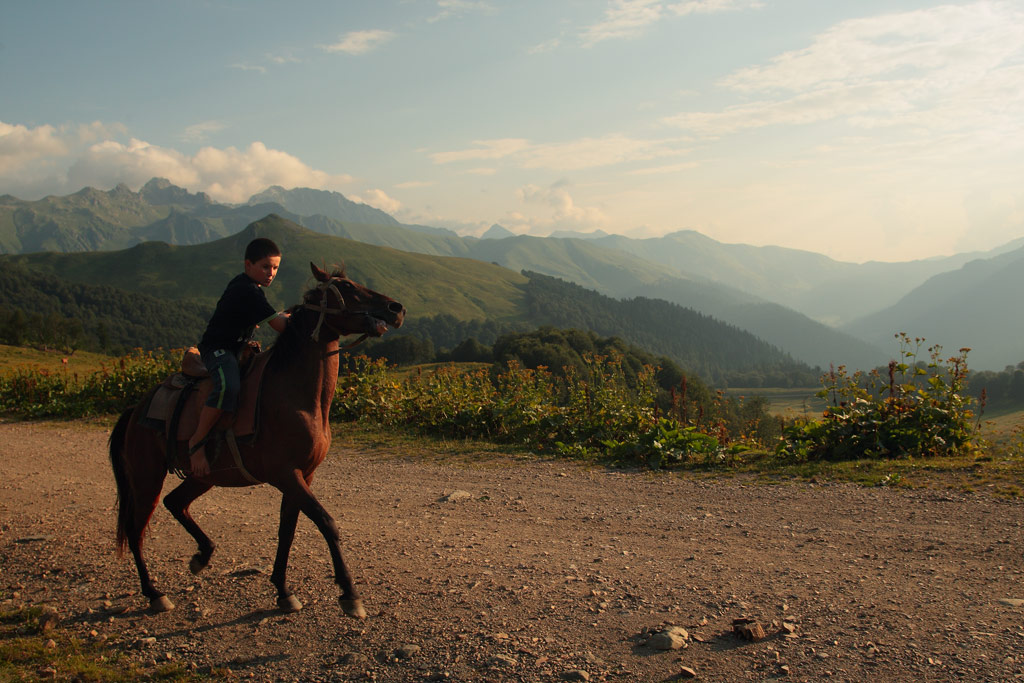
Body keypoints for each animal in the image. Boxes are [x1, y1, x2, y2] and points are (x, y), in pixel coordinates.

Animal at [108, 262, 403, 614]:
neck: (296, 397)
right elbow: (326, 523)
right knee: (135, 529)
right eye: (346, 287)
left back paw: (203, 554)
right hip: (146, 477)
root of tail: (135, 411)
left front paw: (283, 590)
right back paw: (154, 593)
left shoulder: (303, 475)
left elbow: (287, 531)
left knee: (174, 503)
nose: (396, 309)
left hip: (202, 477)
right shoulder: (286, 475)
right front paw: (349, 593)